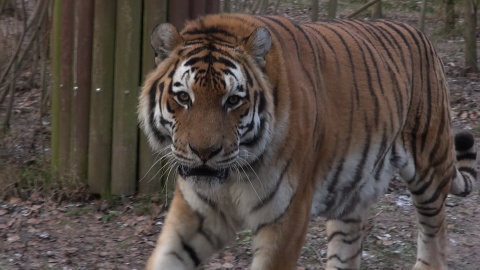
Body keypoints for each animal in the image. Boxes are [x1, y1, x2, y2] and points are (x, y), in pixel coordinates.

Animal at [138, 13, 476, 270]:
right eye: (184, 97)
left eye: (233, 100)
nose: (204, 152)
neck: (233, 176)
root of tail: (422, 35)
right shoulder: (196, 212)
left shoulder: (286, 218)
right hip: (351, 195)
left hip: (430, 166)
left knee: (435, 234)